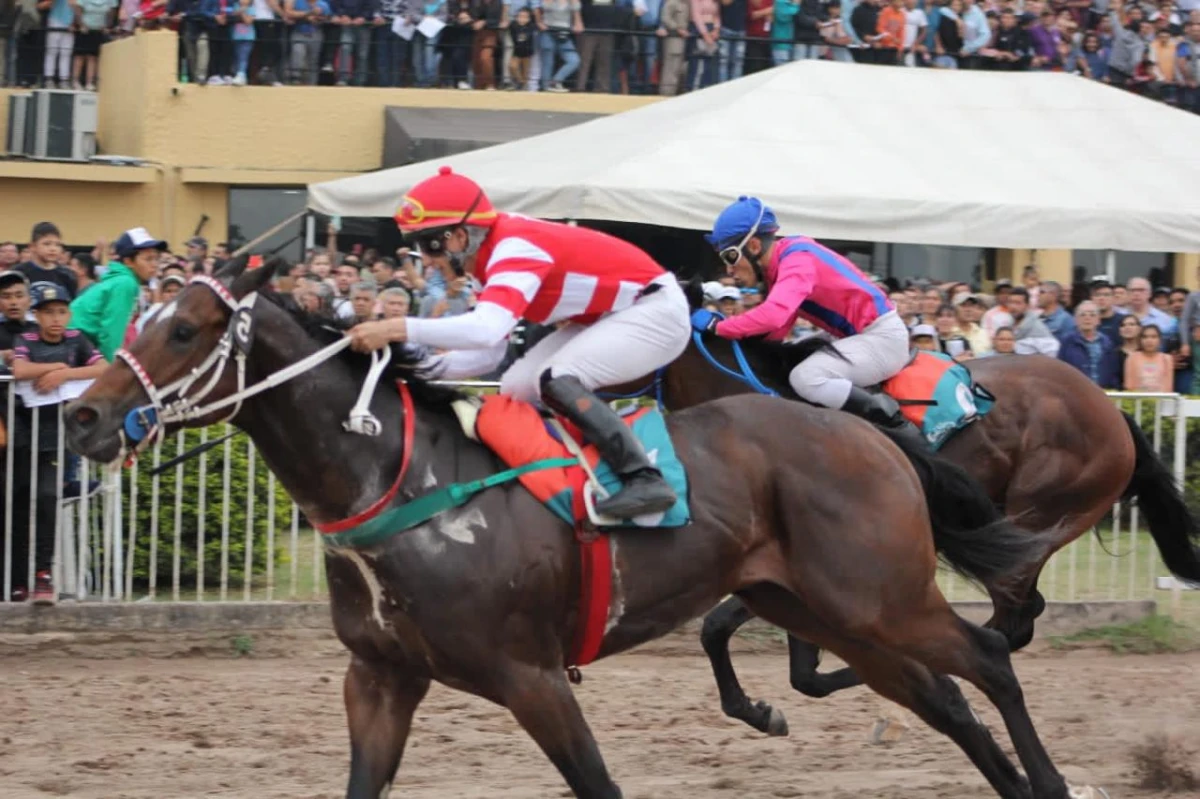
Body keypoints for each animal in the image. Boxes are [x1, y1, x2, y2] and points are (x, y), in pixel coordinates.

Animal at [60, 256, 1099, 796]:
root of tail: (862, 426)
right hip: (827, 610)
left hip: (880, 598)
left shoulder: (532, 677)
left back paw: (1048, 779)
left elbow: (596, 780)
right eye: (137, 314)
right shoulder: (382, 679)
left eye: (184, 330)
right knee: (946, 699)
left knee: (989, 659)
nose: (83, 414)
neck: (399, 484)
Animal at [619, 284, 1200, 734]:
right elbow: (790, 666)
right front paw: (765, 709)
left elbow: (732, 632)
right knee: (1014, 623)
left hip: (1035, 519)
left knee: (1010, 627)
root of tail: (1115, 414)